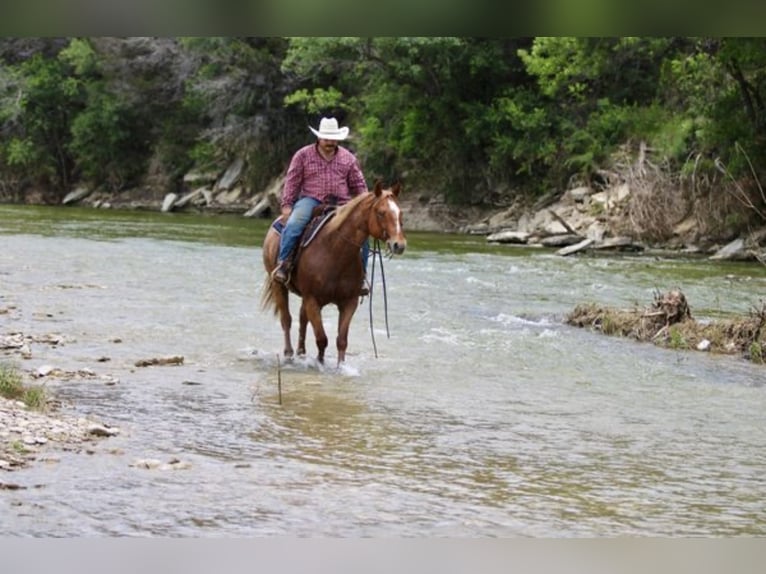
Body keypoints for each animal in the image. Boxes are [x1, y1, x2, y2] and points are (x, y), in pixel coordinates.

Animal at [261, 181, 406, 366]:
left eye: (400, 213)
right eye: (381, 213)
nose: (399, 245)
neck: (334, 251)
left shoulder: (349, 302)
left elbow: (341, 341)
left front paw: (340, 367)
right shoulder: (313, 300)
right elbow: (322, 339)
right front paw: (320, 363)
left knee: (302, 318)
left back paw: (301, 352)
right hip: (279, 285)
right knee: (286, 319)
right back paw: (289, 353)